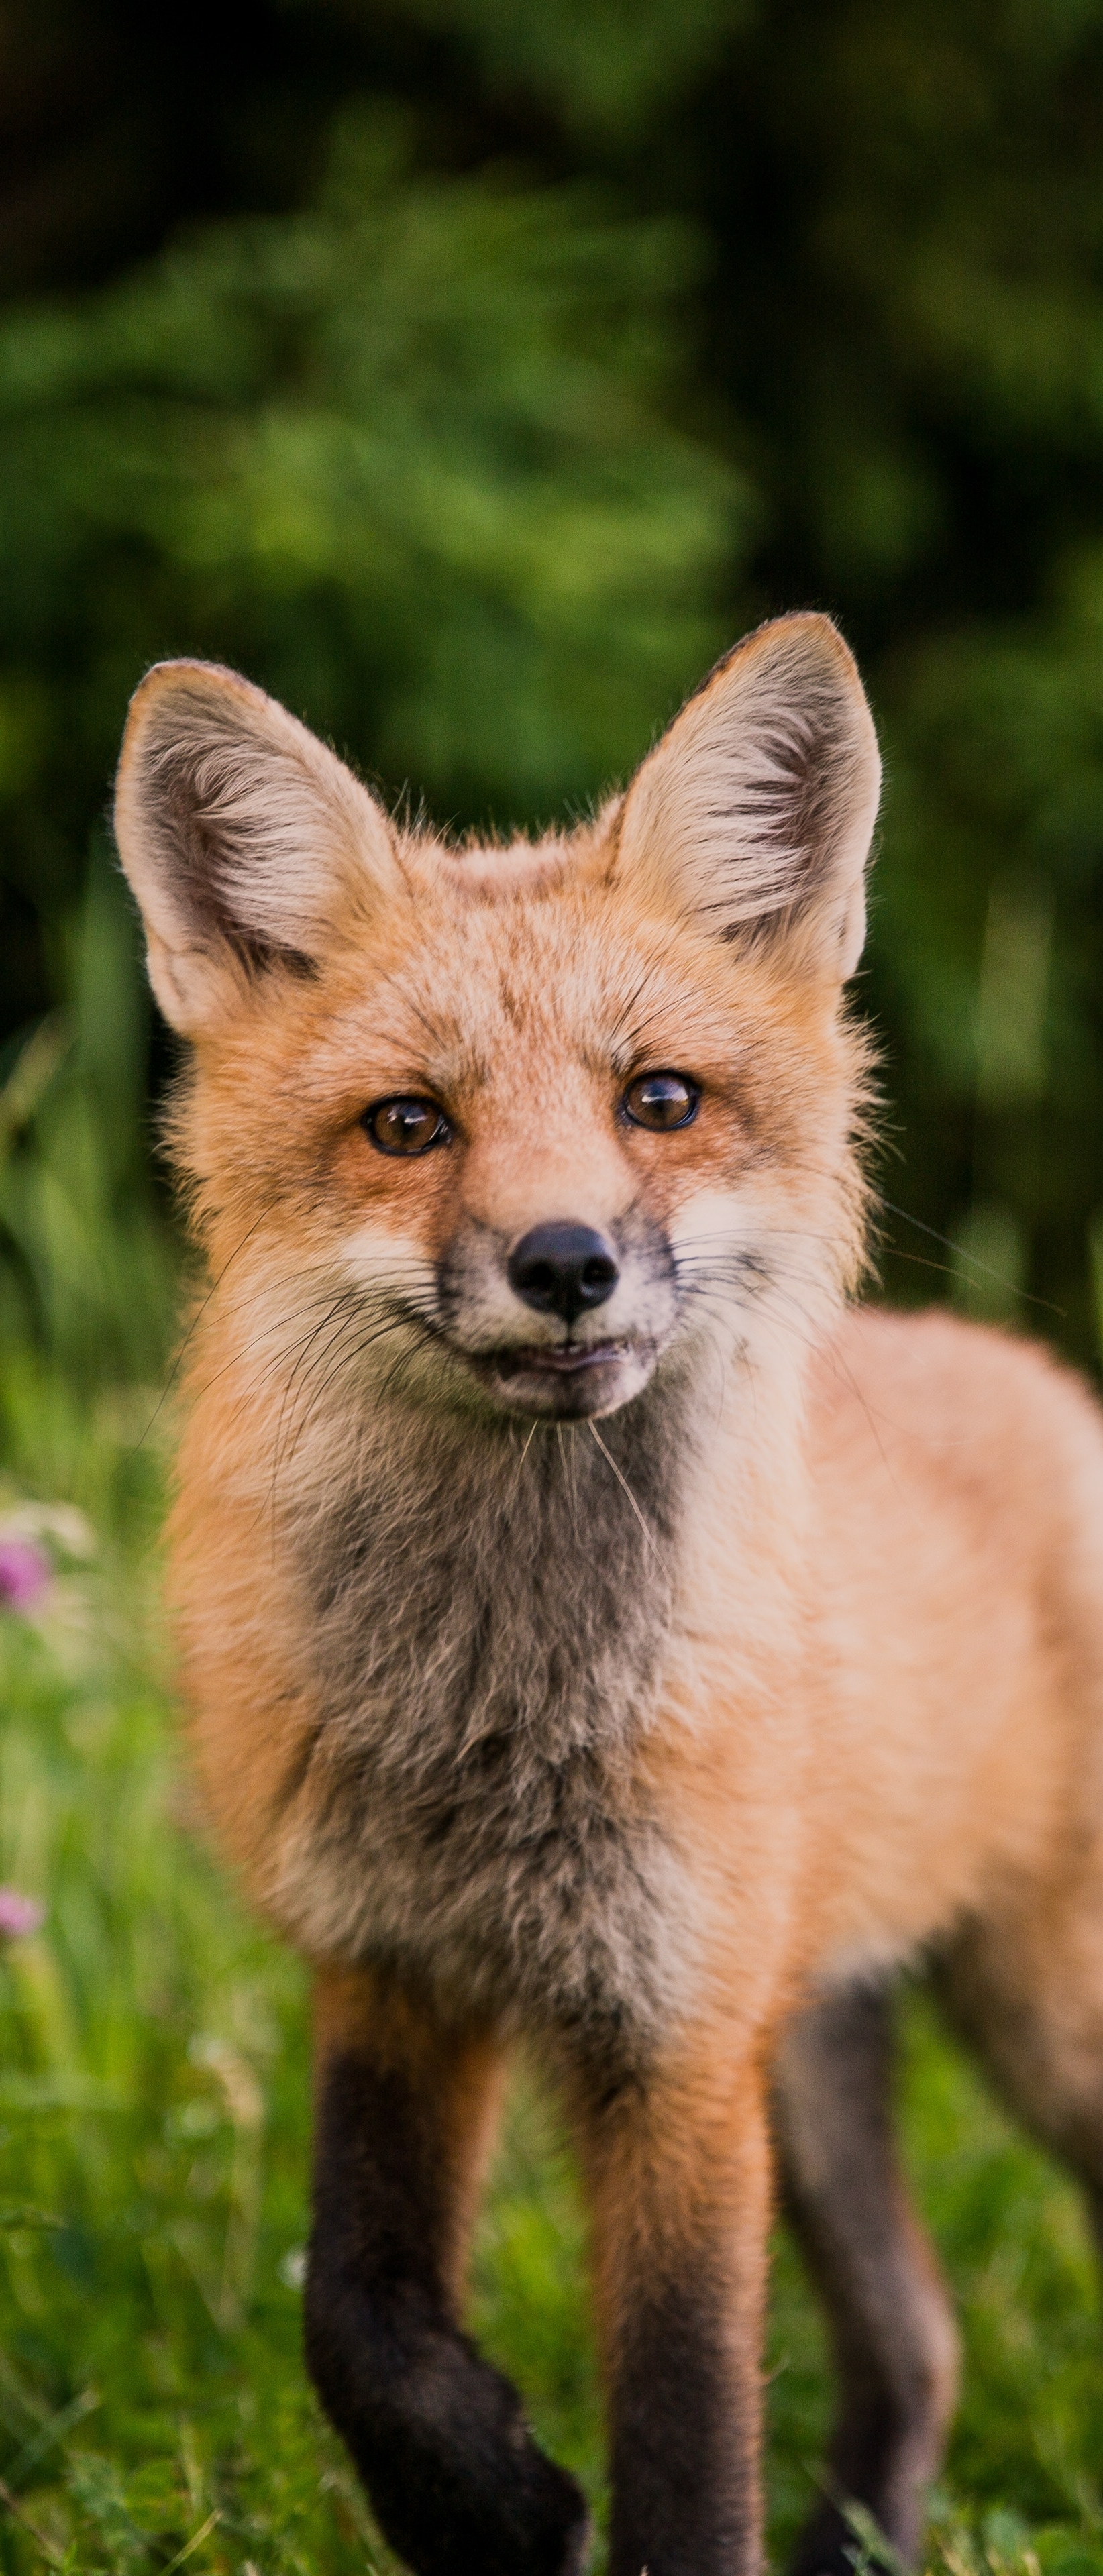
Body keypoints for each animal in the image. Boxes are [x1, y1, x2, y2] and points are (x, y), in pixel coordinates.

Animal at [112, 618, 1103, 2576]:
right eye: (406, 1125)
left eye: (658, 1101)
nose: (561, 1261)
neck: (500, 1721)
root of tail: (1045, 1382)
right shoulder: (394, 1968)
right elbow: (354, 2313)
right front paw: (488, 2505)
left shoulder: (673, 2045)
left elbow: (682, 2428)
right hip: (817, 2051)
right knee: (922, 2339)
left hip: (1034, 2022)